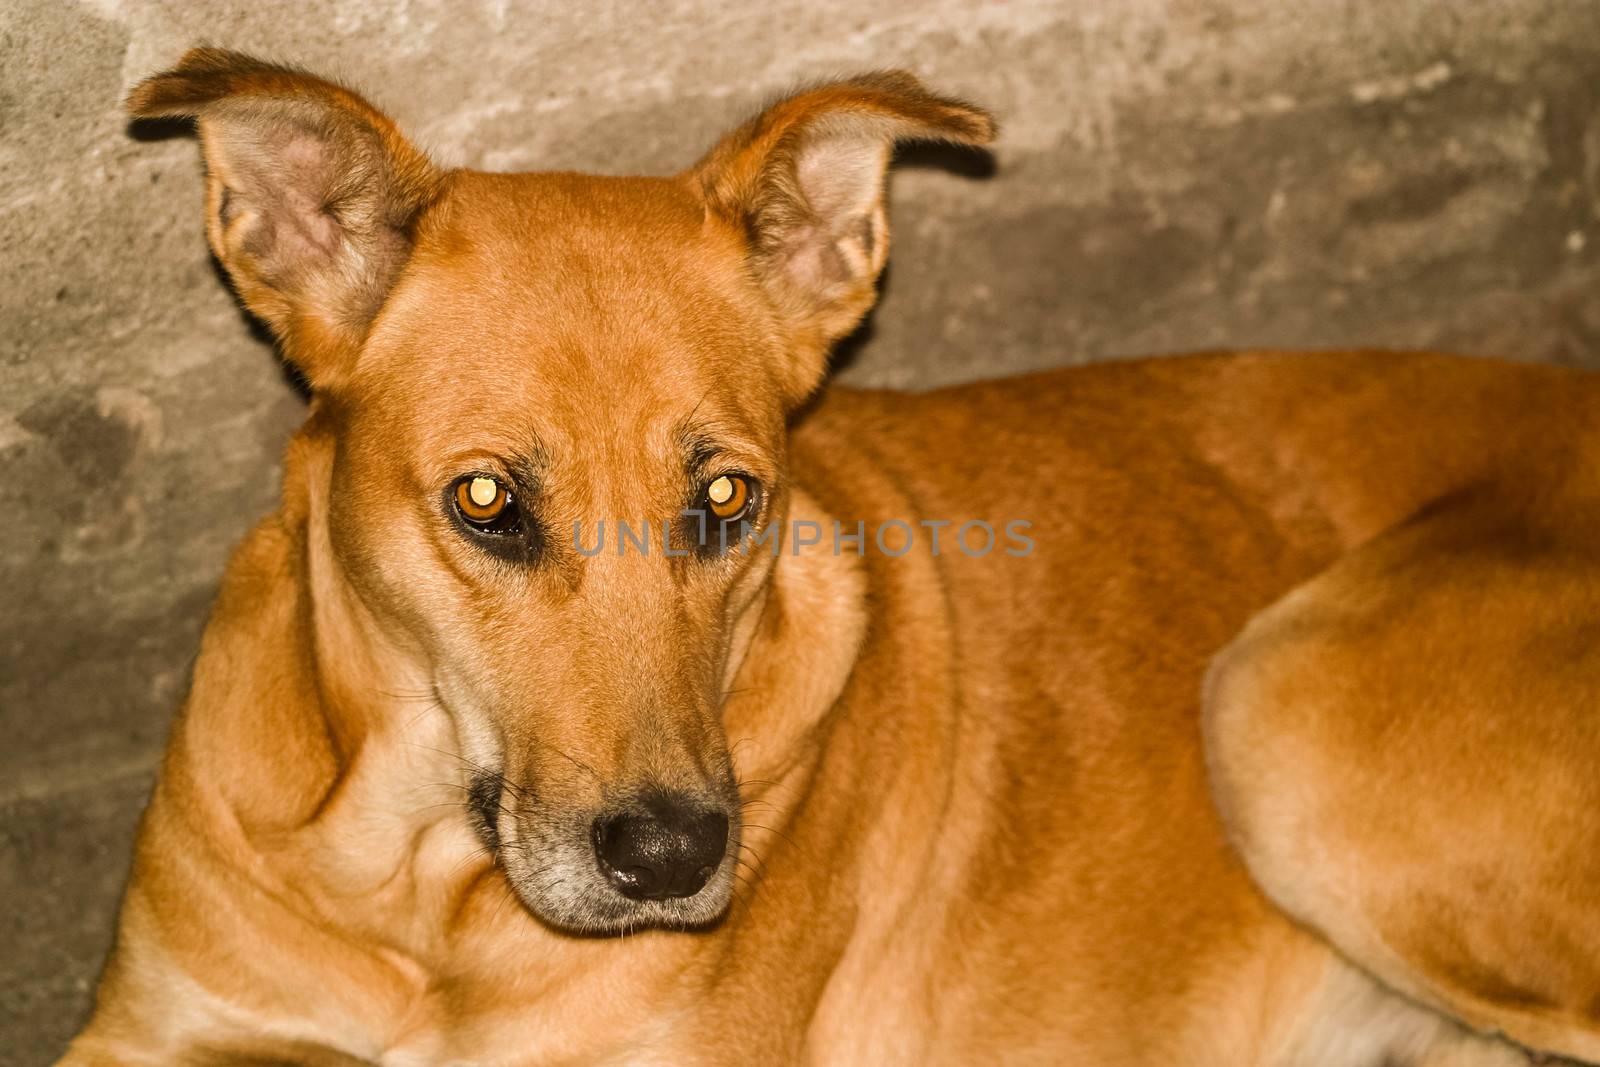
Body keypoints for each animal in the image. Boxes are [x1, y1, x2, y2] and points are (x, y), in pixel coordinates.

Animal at [62, 47, 1600, 1067]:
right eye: (488, 497)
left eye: (729, 494)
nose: (676, 855)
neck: (413, 897)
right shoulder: (151, 1028)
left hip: (1277, 703)